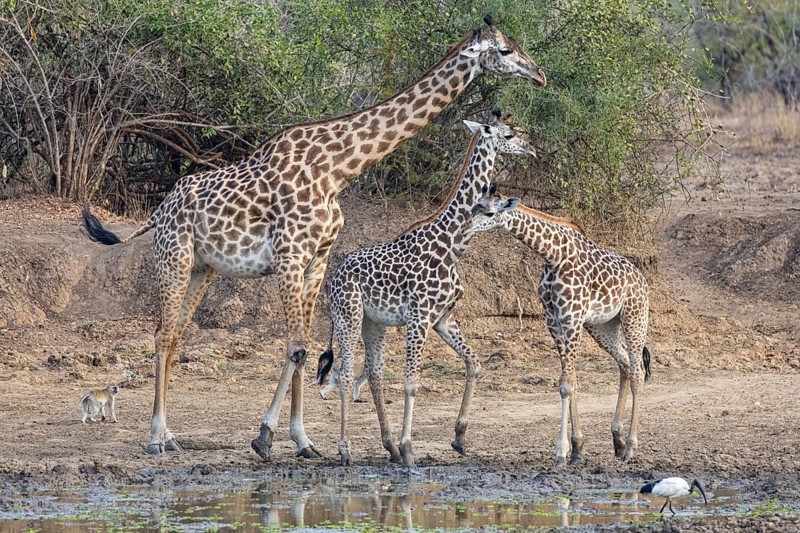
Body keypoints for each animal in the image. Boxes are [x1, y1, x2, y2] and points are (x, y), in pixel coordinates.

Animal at [319, 113, 531, 467]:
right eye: (509, 134)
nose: (530, 149)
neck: (451, 246)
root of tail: (331, 280)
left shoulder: (443, 318)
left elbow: (475, 363)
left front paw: (459, 438)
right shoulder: (419, 318)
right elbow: (411, 382)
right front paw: (409, 450)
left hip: (373, 323)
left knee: (373, 374)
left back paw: (388, 446)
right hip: (348, 316)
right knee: (345, 374)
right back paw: (347, 450)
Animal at [470, 186, 651, 466]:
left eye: (490, 212)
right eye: (474, 207)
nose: (466, 226)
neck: (553, 255)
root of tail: (642, 279)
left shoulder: (572, 318)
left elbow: (566, 384)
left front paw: (561, 452)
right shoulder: (553, 321)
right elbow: (570, 381)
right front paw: (577, 449)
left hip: (635, 317)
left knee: (638, 372)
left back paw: (630, 448)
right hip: (603, 326)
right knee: (625, 363)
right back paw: (618, 441)